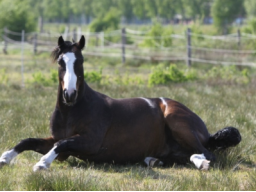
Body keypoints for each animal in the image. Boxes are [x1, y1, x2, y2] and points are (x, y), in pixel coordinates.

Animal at [0, 36, 241, 171]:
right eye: (61, 61)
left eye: (81, 62)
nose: (69, 94)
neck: (73, 111)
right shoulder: (57, 142)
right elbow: (29, 141)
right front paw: (5, 157)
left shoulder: (89, 142)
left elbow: (61, 144)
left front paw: (41, 164)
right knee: (184, 156)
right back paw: (154, 161)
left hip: (177, 121)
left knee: (208, 153)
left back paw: (202, 164)